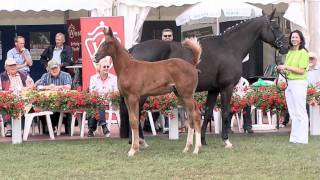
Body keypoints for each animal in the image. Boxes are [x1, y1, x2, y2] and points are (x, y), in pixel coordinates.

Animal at [94, 27, 202, 156]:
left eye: (107, 43)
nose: (95, 57)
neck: (127, 67)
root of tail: (192, 65)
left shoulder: (133, 97)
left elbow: (134, 121)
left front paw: (133, 150)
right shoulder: (127, 98)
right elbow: (132, 120)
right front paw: (136, 146)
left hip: (187, 95)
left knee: (196, 115)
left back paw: (196, 149)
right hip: (181, 95)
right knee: (190, 117)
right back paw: (187, 148)